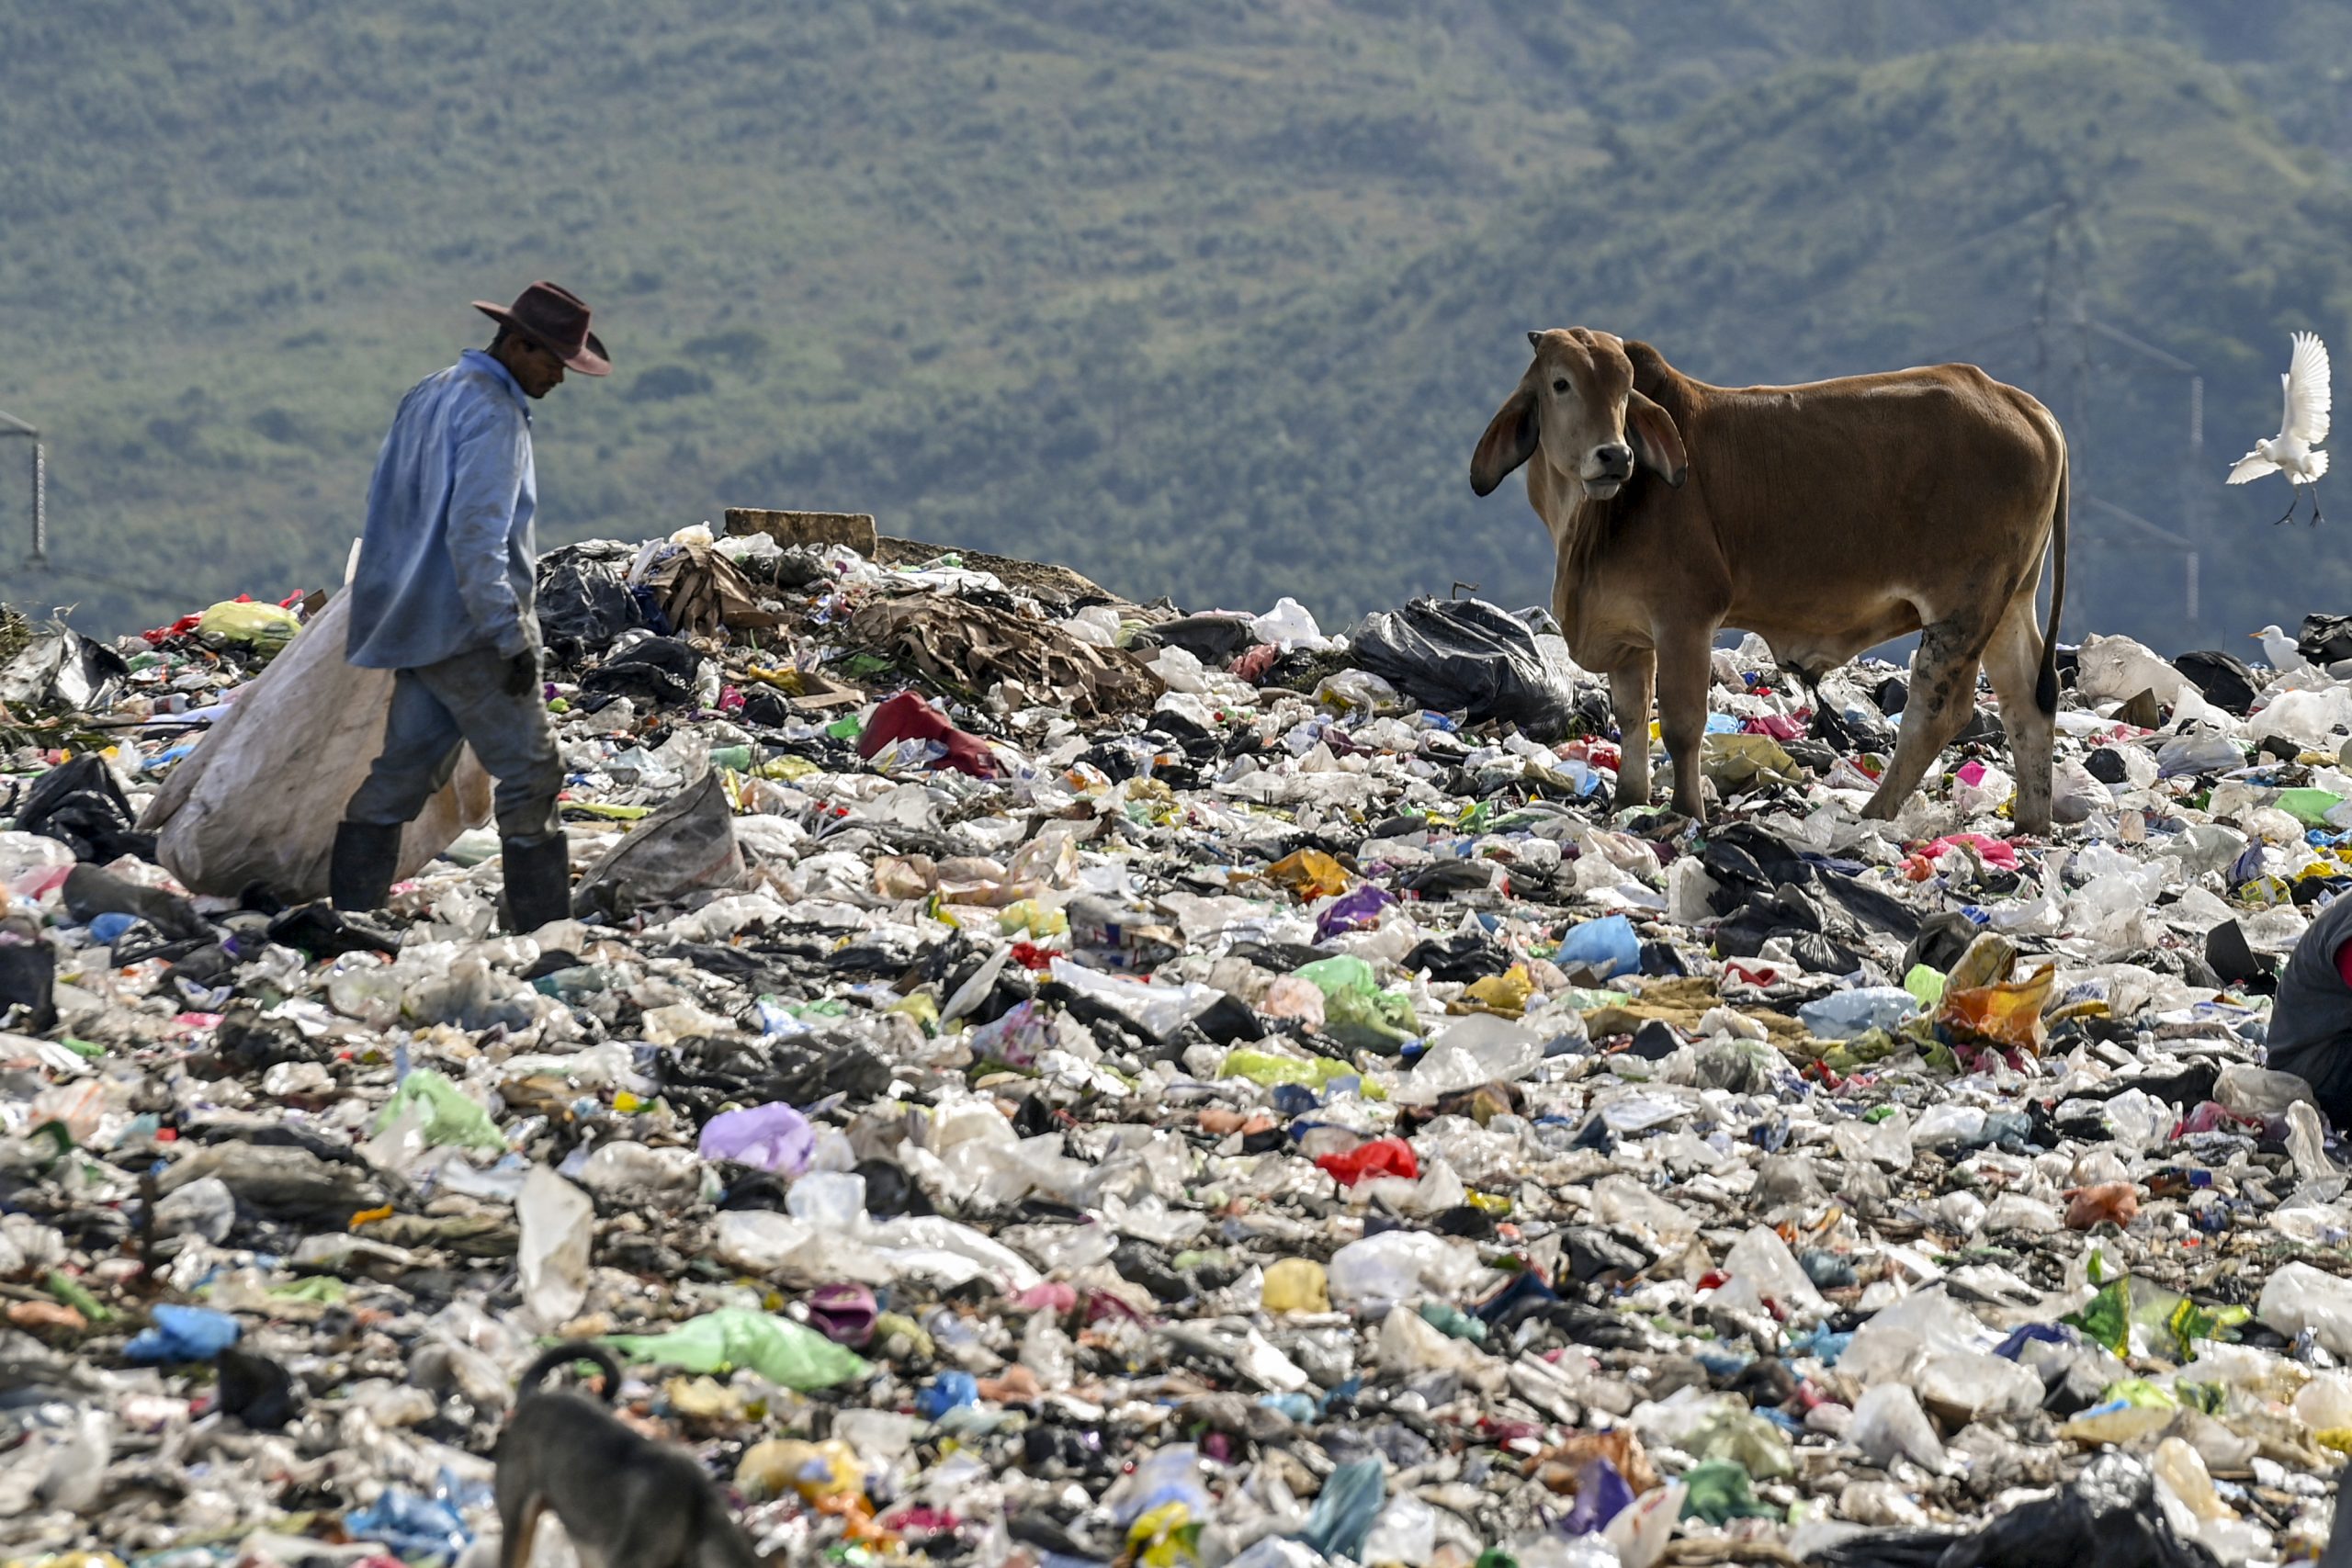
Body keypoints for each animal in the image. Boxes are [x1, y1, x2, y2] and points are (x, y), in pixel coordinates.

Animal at [1476, 329, 2069, 831]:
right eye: (1561, 383)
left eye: (1625, 390)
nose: (1615, 455)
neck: (1593, 519)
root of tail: (2024, 405)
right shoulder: (1628, 634)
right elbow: (1632, 715)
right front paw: (1629, 800)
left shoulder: (1684, 617)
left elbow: (1681, 723)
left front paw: (1687, 811)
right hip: (2010, 601)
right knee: (2026, 700)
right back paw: (2030, 822)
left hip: (1961, 608)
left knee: (1938, 710)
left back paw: (1874, 812)